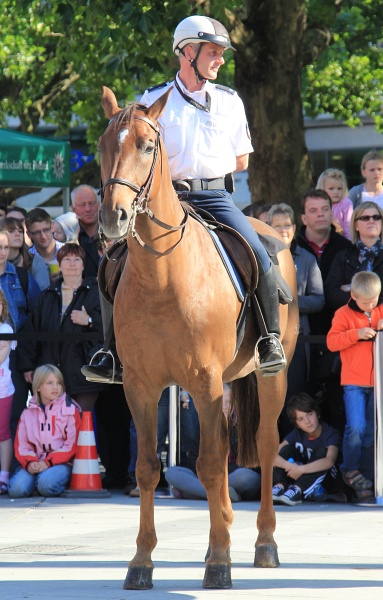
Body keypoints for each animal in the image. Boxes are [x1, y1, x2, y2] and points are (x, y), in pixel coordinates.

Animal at [97, 86, 298, 588]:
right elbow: (148, 468)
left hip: (271, 376)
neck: (162, 274)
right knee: (224, 452)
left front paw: (220, 562)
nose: (112, 218)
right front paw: (141, 561)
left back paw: (264, 542)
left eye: (148, 146)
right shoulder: (141, 387)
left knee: (264, 446)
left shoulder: (204, 382)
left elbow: (208, 465)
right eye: (103, 146)